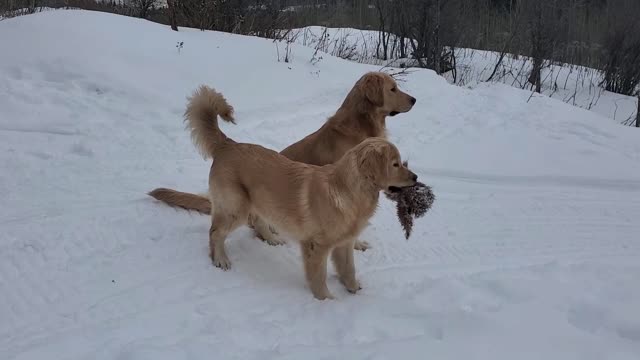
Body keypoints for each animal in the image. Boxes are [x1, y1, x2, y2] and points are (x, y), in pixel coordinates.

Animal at [172, 86, 418, 300]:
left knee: (258, 221)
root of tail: (228, 144)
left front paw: (354, 290)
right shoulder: (316, 246)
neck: (348, 191)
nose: (416, 178)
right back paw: (220, 259)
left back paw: (272, 239)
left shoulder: (344, 244)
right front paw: (326, 301)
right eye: (395, 164)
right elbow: (318, 277)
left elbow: (349, 270)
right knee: (215, 232)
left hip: (258, 200)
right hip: (236, 208)